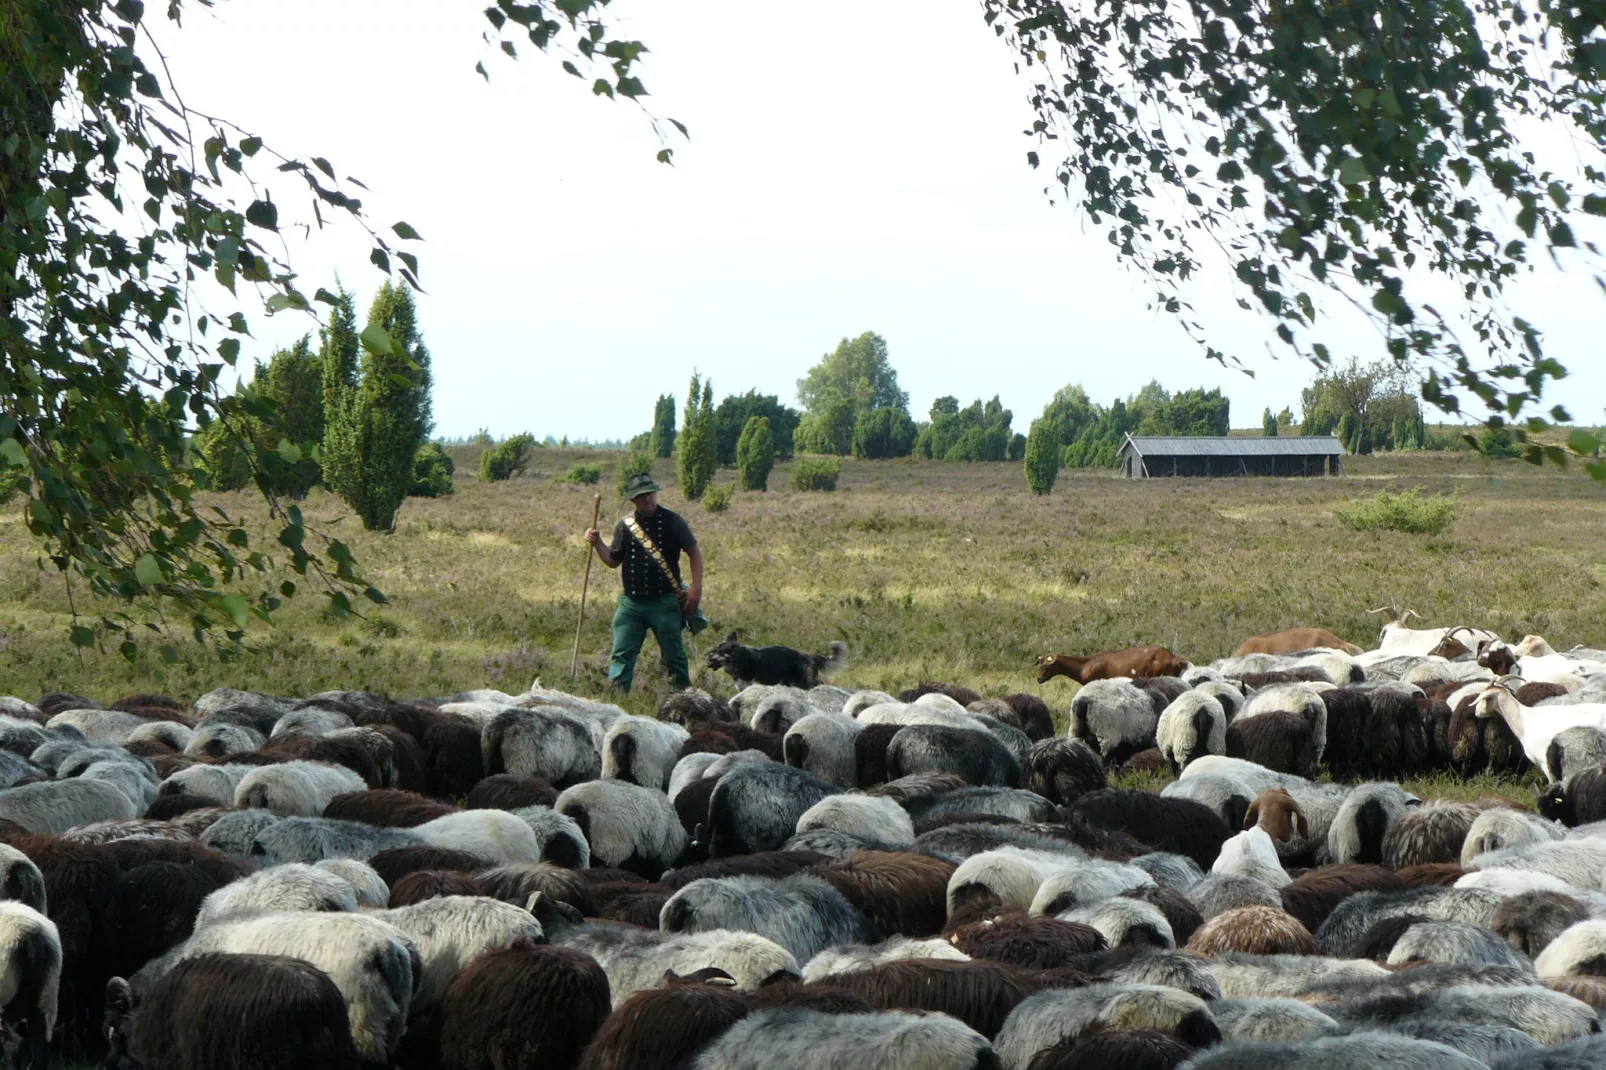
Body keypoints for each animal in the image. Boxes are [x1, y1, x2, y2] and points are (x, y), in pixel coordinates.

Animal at [706, 629, 854, 687]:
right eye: (716, 649)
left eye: (718, 652)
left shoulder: (747, 683)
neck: (738, 658)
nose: (707, 661)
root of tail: (809, 656)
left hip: (803, 681)